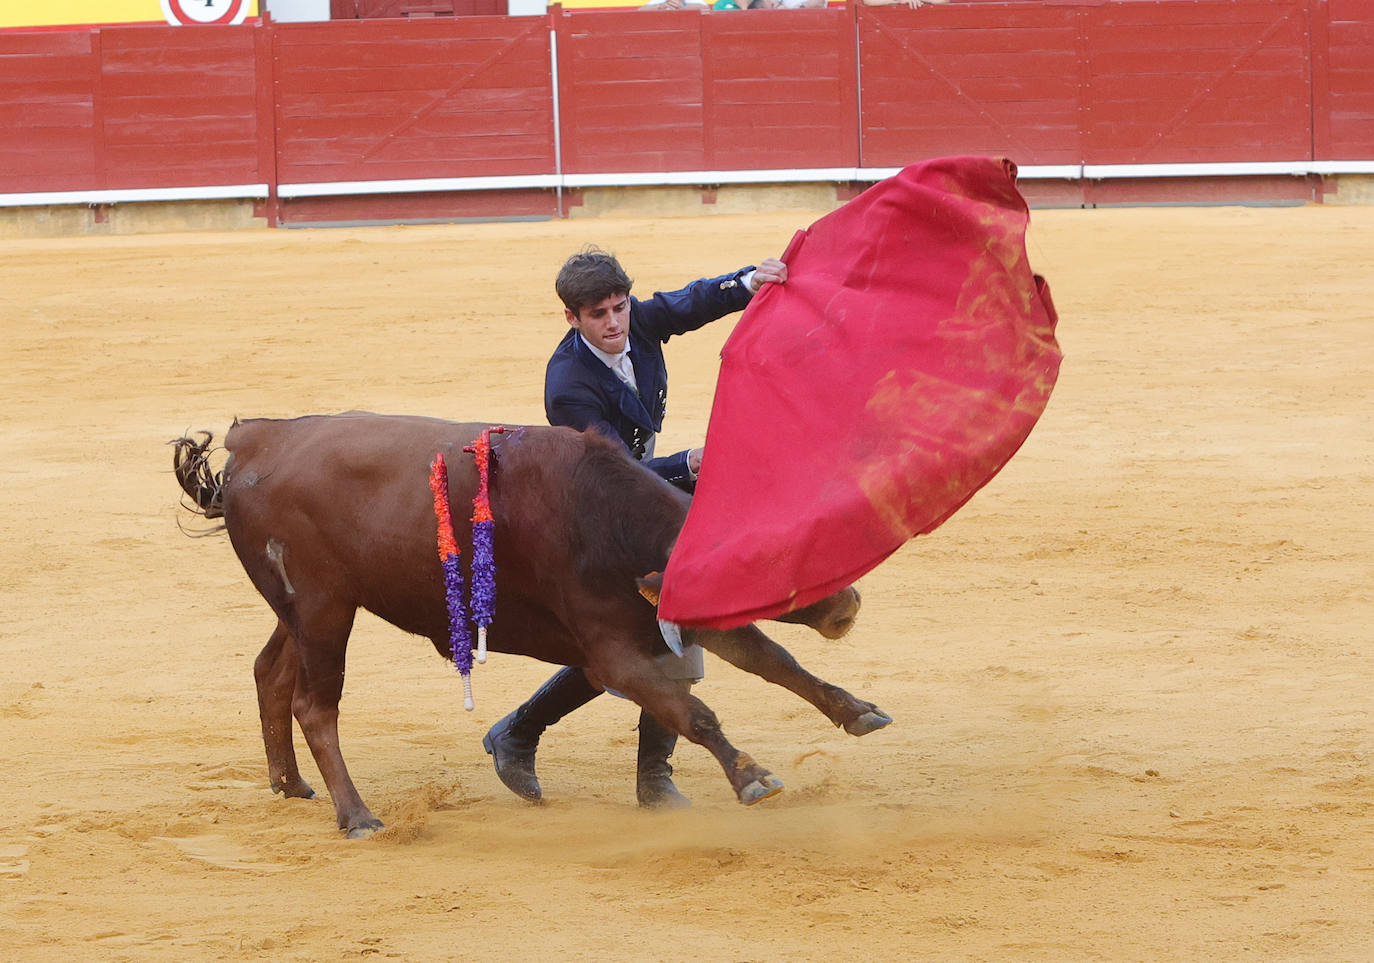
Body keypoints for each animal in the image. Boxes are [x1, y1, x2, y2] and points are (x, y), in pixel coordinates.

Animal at [171, 409, 895, 835]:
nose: (849, 605)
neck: (605, 516)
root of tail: (256, 437)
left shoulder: (682, 622)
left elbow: (778, 663)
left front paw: (858, 710)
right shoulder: (614, 655)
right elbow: (696, 712)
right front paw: (752, 777)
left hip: (309, 608)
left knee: (271, 673)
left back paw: (290, 784)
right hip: (323, 609)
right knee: (314, 705)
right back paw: (357, 815)